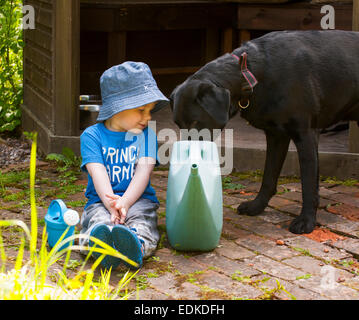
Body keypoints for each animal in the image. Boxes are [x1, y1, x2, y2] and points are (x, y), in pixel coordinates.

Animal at [170, 30, 359, 234]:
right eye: (178, 124)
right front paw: (257, 206)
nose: (185, 156)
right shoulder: (276, 135)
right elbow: (268, 176)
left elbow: (308, 183)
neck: (250, 73)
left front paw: (306, 221)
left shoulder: (306, 135)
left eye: (195, 122)